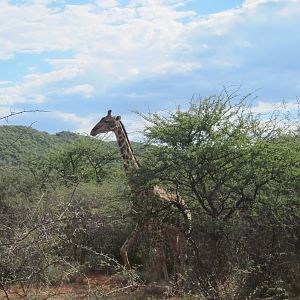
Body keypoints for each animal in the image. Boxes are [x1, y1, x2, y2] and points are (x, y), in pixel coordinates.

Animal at [89, 110, 192, 284]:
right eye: (101, 119)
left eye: (108, 121)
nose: (92, 131)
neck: (137, 187)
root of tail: (187, 207)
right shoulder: (141, 223)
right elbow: (123, 249)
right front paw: (132, 281)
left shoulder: (153, 226)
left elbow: (160, 257)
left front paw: (165, 284)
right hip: (172, 231)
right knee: (178, 256)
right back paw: (179, 281)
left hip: (185, 230)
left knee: (183, 256)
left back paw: (183, 283)